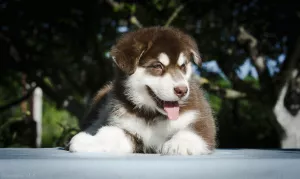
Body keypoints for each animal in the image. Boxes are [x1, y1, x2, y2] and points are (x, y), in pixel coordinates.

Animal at [68, 26, 216, 155]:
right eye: (157, 66)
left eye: (183, 66)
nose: (182, 90)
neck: (151, 115)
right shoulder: (126, 126)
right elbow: (111, 133)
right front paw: (89, 141)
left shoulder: (200, 118)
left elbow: (193, 131)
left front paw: (179, 144)